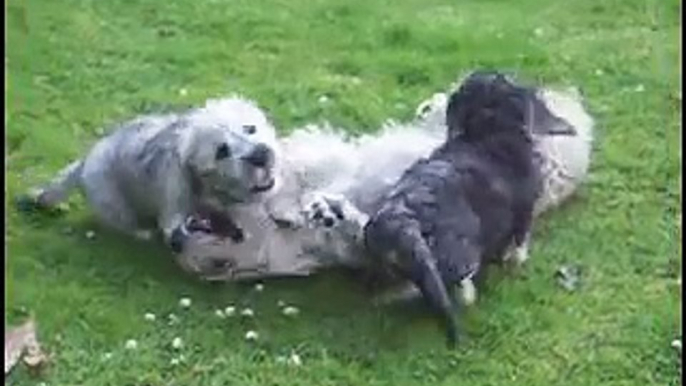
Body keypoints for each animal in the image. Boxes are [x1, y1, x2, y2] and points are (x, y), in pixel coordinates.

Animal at [366, 70, 576, 346]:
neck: (489, 131)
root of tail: (404, 218)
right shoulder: (525, 211)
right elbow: (520, 242)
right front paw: (517, 261)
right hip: (463, 256)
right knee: (461, 289)